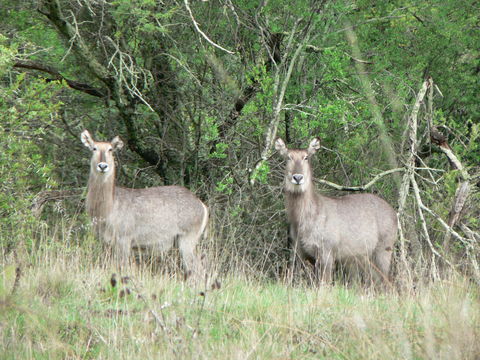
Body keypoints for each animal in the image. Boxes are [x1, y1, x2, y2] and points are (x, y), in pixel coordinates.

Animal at [79, 129, 207, 278]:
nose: (103, 166)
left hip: (187, 239)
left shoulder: (124, 239)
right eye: (94, 148)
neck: (107, 209)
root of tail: (202, 206)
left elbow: (123, 268)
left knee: (198, 270)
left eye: (110, 149)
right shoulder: (107, 243)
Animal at [276, 137, 396, 284]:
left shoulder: (327, 251)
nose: (298, 177)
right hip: (365, 256)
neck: (302, 222)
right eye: (288, 157)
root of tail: (394, 213)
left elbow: (325, 284)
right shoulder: (300, 251)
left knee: (387, 280)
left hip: (384, 248)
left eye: (306, 157)